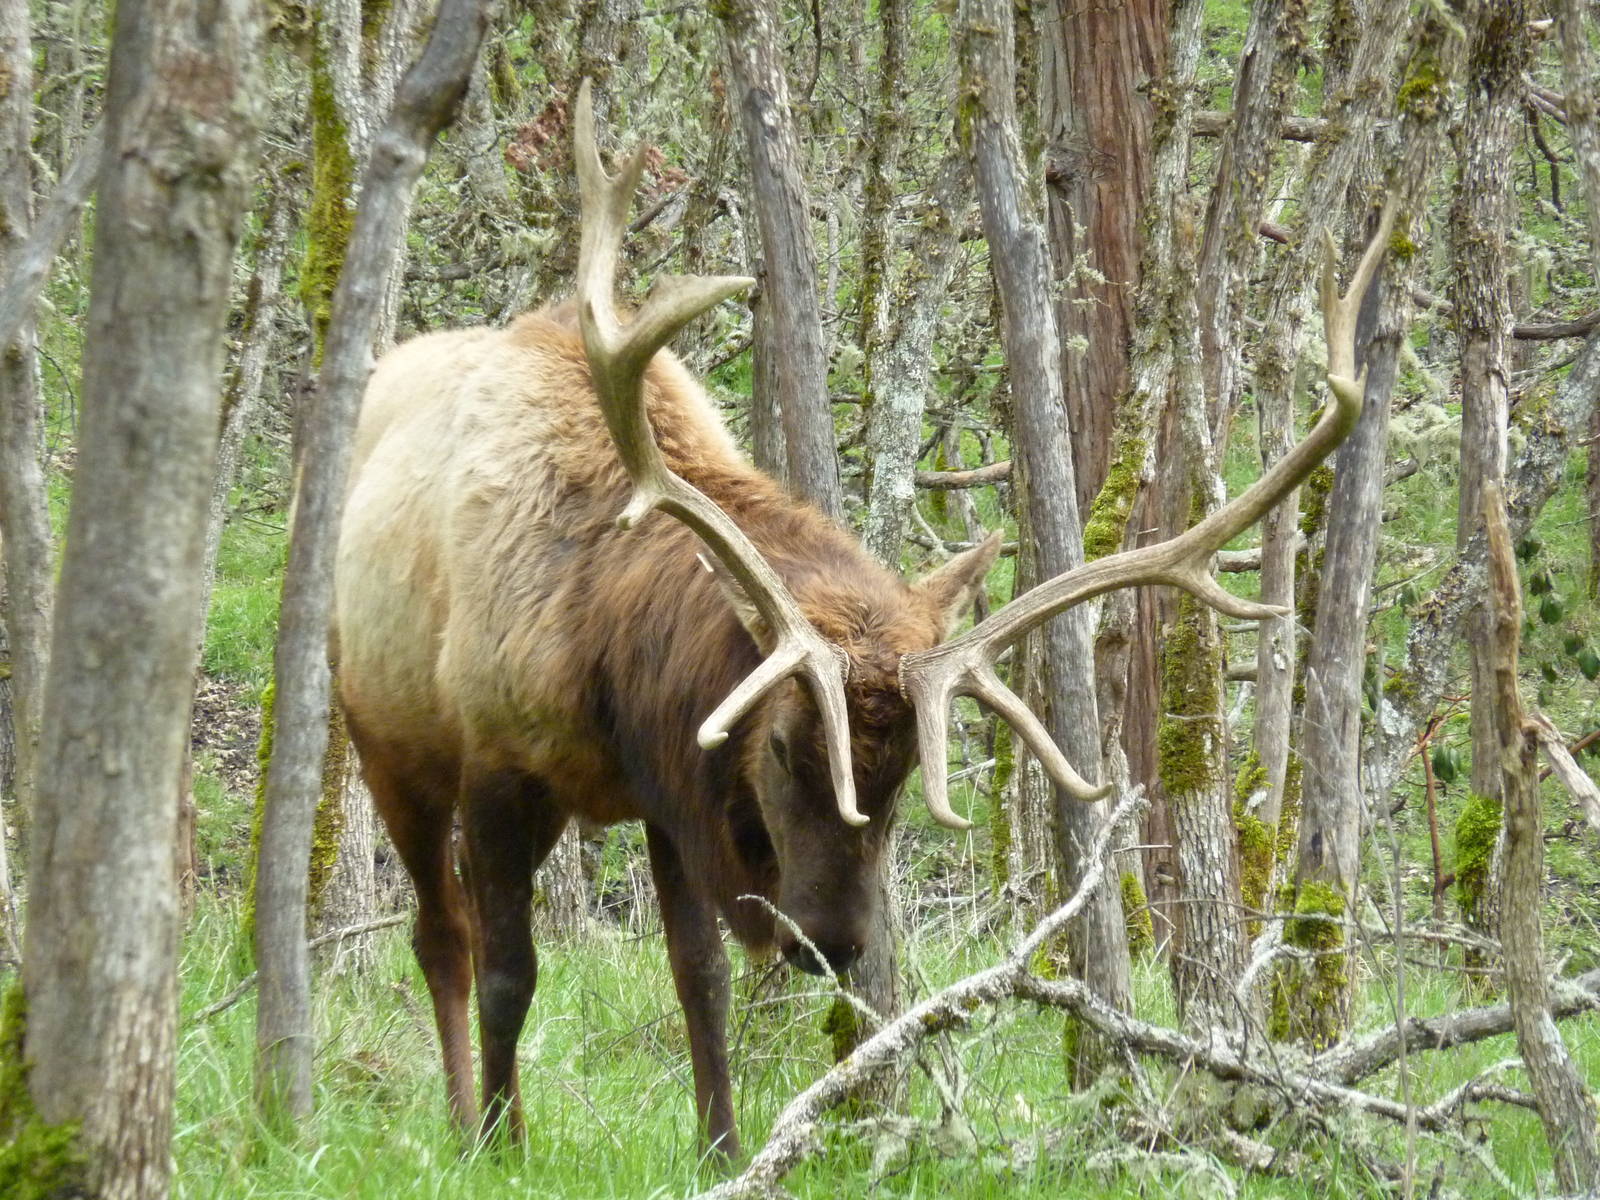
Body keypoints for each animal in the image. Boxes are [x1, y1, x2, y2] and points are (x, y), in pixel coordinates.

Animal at [332, 81, 1393, 1158]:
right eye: (781, 745)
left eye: (907, 772)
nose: (832, 943)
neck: (605, 654)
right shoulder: (498, 762)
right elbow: (513, 972)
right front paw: (494, 1150)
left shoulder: (666, 792)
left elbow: (701, 981)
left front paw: (722, 1150)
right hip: (386, 741)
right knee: (442, 935)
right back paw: (461, 1113)